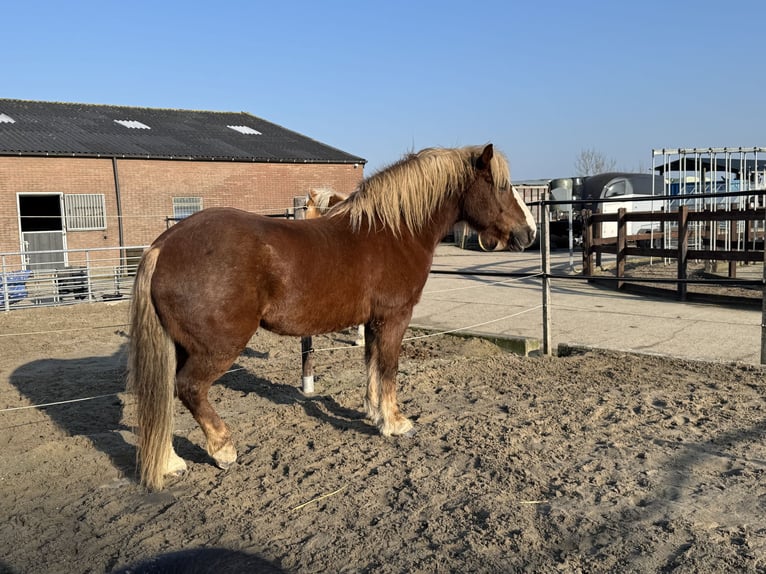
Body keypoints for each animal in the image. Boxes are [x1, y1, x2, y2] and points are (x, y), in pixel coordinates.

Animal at [127, 144, 537, 490]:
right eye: (501, 186)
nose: (528, 233)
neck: (393, 230)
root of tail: (163, 246)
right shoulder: (395, 317)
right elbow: (389, 368)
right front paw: (396, 423)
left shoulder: (373, 321)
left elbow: (371, 365)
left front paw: (373, 413)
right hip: (218, 347)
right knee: (189, 388)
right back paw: (223, 448)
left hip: (181, 346)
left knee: (165, 396)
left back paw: (169, 462)